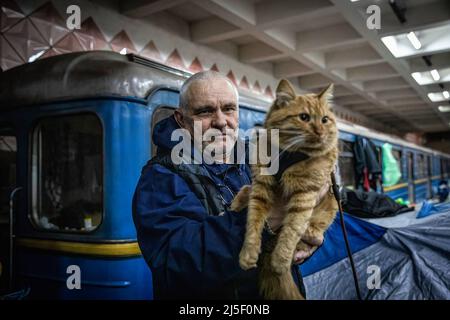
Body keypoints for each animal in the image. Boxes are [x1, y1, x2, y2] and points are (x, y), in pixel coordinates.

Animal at [232, 79, 338, 298]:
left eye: (325, 120)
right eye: (304, 117)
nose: (320, 131)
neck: (288, 155)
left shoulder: (305, 195)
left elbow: (291, 231)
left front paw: (279, 262)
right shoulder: (260, 189)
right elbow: (253, 224)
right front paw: (248, 253)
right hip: (250, 188)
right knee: (244, 191)